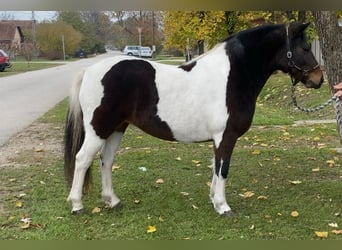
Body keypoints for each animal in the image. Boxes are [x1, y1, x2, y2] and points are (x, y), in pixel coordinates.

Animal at [63, 22, 324, 216]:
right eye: (305, 47)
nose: (318, 79)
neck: (232, 75)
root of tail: (89, 71)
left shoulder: (218, 139)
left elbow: (215, 167)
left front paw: (214, 200)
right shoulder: (225, 136)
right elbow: (223, 168)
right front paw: (223, 206)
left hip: (117, 127)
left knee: (106, 160)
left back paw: (113, 201)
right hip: (99, 129)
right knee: (83, 159)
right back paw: (77, 205)